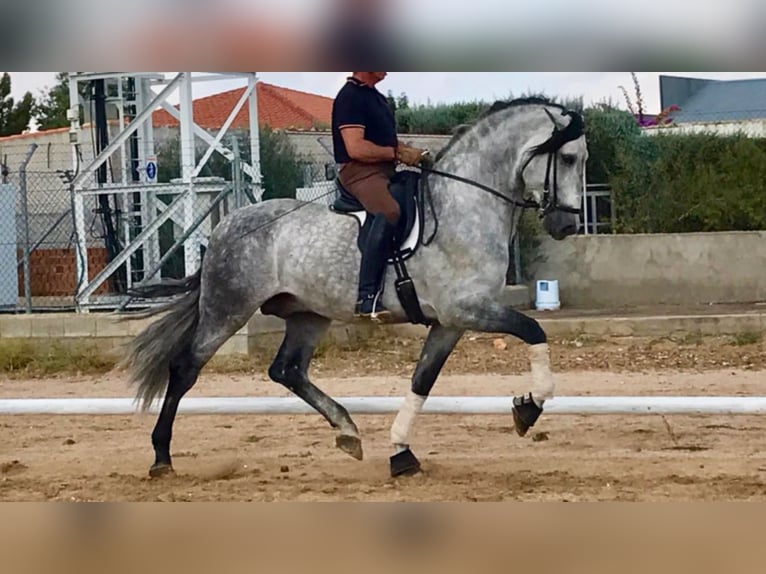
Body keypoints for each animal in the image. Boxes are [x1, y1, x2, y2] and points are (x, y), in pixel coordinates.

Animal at [121, 97, 588, 480]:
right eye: (567, 158)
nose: (566, 226)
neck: (466, 203)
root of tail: (225, 227)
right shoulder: (466, 309)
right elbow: (534, 331)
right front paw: (528, 408)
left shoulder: (450, 323)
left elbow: (422, 380)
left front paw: (401, 453)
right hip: (228, 308)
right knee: (185, 368)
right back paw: (161, 458)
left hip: (308, 314)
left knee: (287, 370)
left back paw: (347, 431)